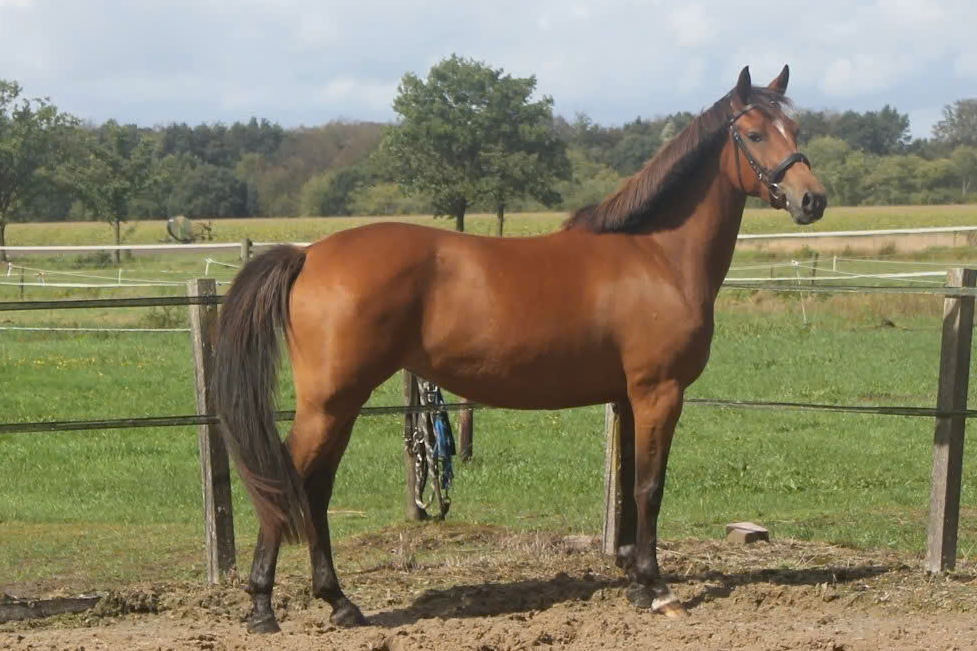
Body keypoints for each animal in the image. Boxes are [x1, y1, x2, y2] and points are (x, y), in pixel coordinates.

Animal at [212, 64, 826, 632]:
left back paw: (339, 603)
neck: (656, 255)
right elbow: (650, 486)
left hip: (341, 404)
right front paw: (658, 589)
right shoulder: (659, 392)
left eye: (795, 128)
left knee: (313, 489)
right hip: (330, 402)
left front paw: (633, 580)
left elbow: (629, 488)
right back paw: (264, 607)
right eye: (753, 133)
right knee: (288, 482)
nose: (812, 199)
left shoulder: (629, 398)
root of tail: (309, 254)